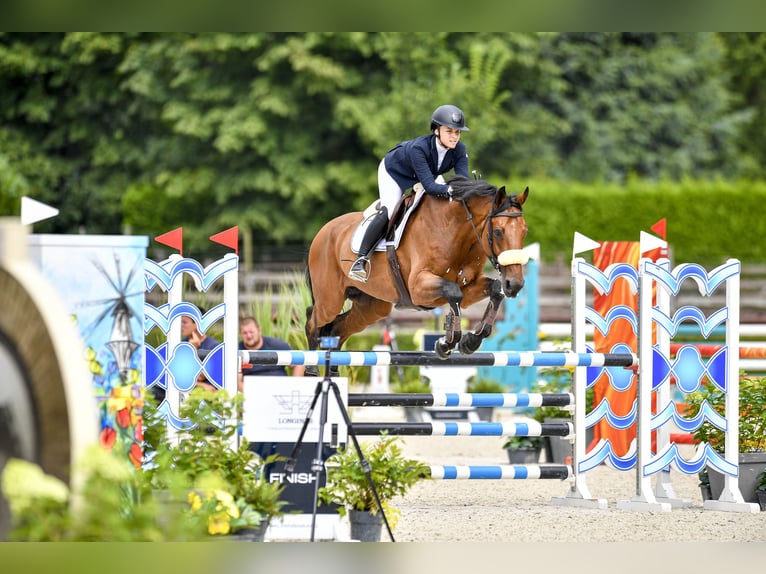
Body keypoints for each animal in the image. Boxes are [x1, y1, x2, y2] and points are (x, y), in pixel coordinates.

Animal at [304, 174, 532, 368]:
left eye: (525, 231)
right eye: (498, 231)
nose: (515, 284)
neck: (456, 230)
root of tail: (324, 231)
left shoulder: (468, 288)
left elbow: (494, 289)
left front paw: (470, 341)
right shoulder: (418, 288)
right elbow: (453, 293)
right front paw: (446, 344)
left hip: (372, 306)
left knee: (337, 330)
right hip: (330, 300)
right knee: (313, 323)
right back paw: (312, 369)